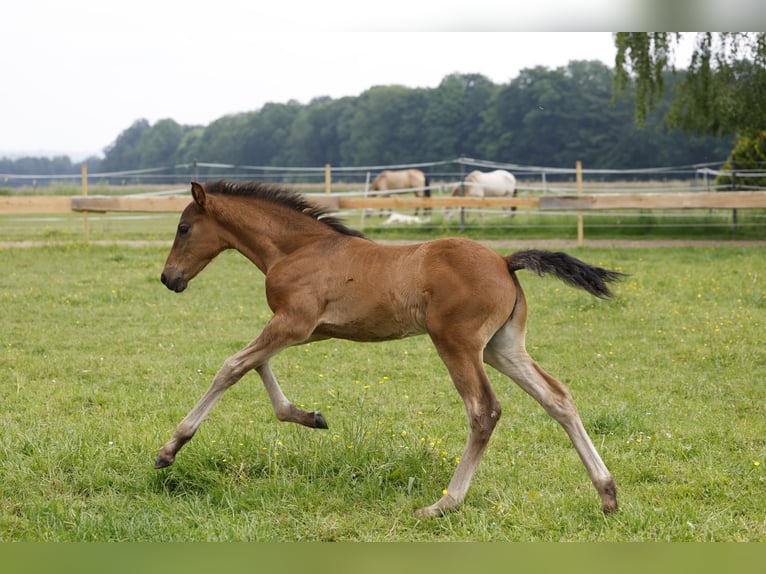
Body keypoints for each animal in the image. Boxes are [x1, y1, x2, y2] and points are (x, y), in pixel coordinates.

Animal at [156, 180, 624, 520]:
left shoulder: (293, 323)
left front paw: (170, 448)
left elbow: (231, 366)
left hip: (457, 343)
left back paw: (444, 504)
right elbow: (257, 366)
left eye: (183, 229)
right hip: (501, 347)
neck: (300, 248)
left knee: (484, 410)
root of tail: (505, 261)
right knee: (557, 397)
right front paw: (310, 417)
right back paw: (607, 494)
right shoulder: (304, 329)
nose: (168, 278)